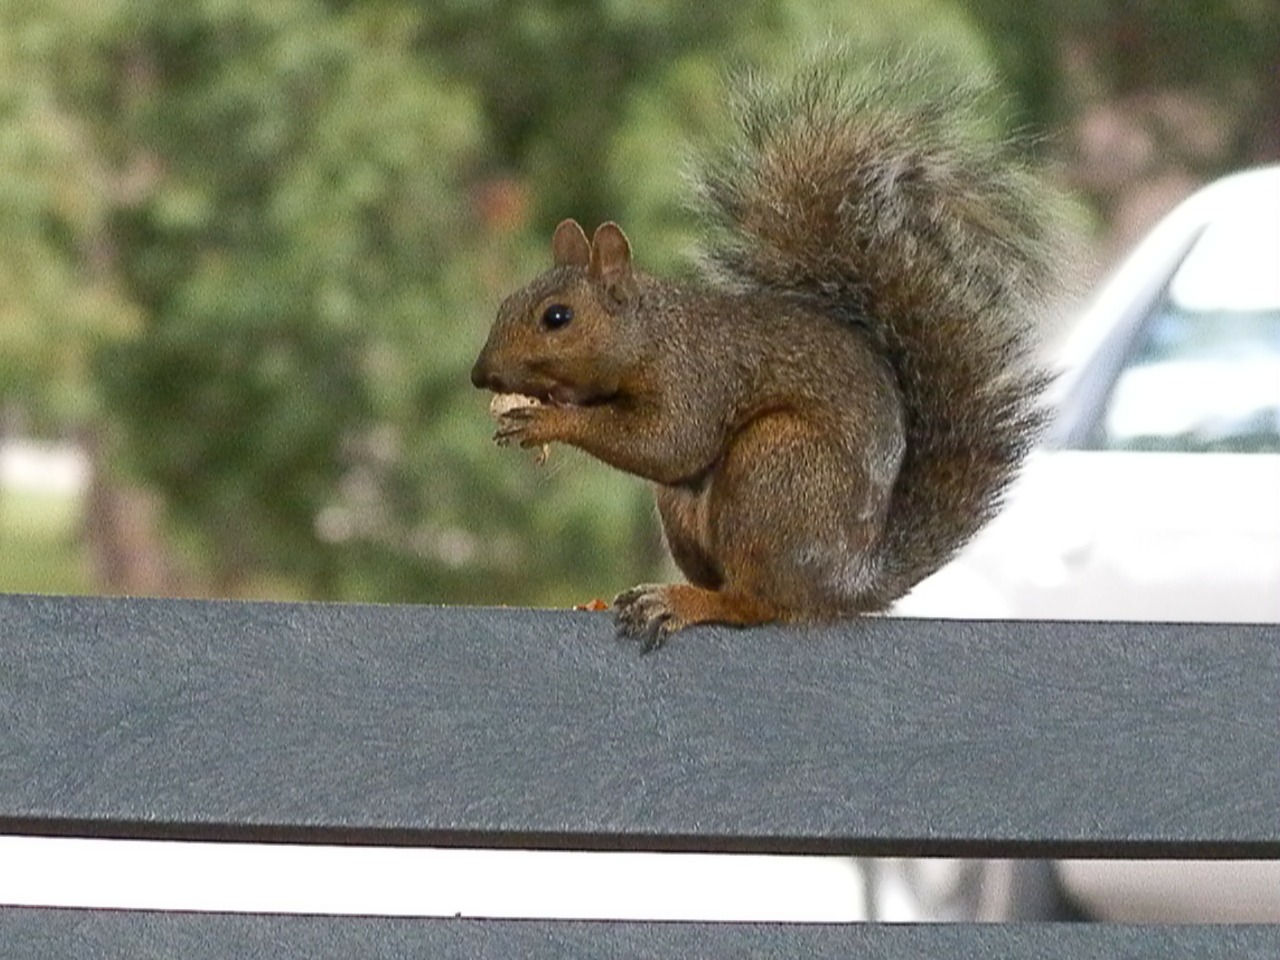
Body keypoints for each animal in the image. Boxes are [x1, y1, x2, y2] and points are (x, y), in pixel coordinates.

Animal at [471, 56, 1059, 650]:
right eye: (507, 300)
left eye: (557, 317)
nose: (481, 375)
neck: (653, 334)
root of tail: (847, 584)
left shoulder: (698, 375)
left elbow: (669, 442)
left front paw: (547, 422)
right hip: (693, 510)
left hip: (774, 472)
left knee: (755, 602)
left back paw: (684, 602)